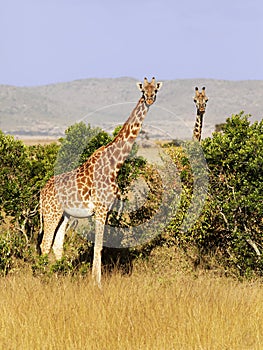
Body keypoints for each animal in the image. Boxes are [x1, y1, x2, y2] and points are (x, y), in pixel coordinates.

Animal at [38, 77, 163, 288]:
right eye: (143, 90)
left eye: (155, 90)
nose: (150, 99)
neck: (114, 165)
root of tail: (41, 192)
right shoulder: (101, 208)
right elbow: (98, 246)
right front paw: (96, 284)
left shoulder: (107, 209)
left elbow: (99, 245)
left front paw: (94, 281)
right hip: (51, 212)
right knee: (44, 244)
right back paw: (44, 280)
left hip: (65, 215)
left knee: (57, 244)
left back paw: (59, 279)